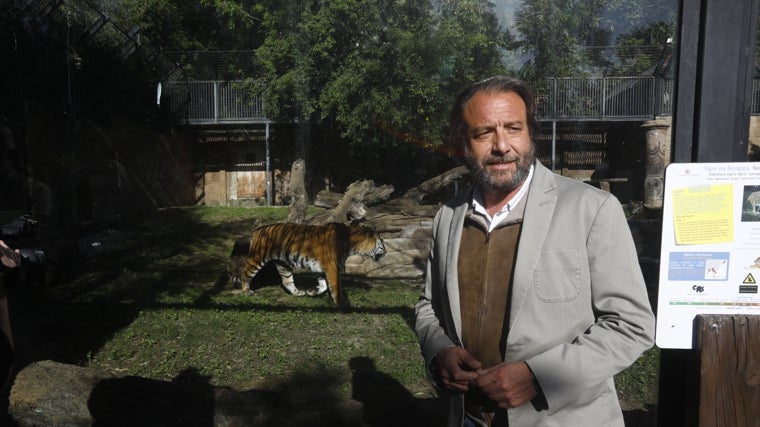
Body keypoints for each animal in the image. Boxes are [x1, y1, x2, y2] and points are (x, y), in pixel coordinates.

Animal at [223, 222, 382, 306]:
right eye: (382, 243)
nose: (385, 251)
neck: (352, 244)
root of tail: (256, 230)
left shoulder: (324, 268)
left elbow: (324, 285)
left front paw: (312, 292)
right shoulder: (332, 267)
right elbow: (335, 287)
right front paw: (342, 303)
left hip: (283, 263)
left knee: (287, 281)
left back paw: (298, 293)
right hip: (257, 258)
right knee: (245, 273)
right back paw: (246, 291)